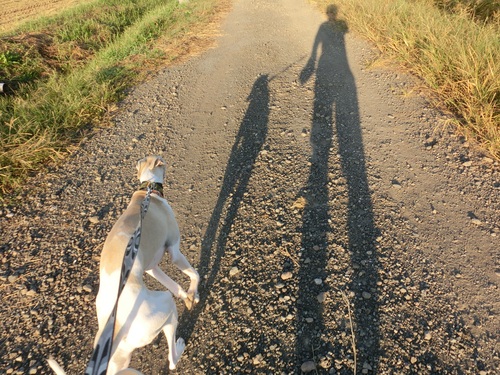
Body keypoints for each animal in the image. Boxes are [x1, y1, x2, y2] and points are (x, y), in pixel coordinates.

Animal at [48, 155, 199, 374]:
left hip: (124, 355)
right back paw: (178, 347)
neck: (147, 191)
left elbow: (174, 284)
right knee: (171, 359)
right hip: (165, 307)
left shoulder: (151, 268)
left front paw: (187, 296)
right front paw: (194, 293)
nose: (165, 159)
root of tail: (118, 324)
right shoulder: (174, 250)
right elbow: (194, 273)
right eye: (160, 161)